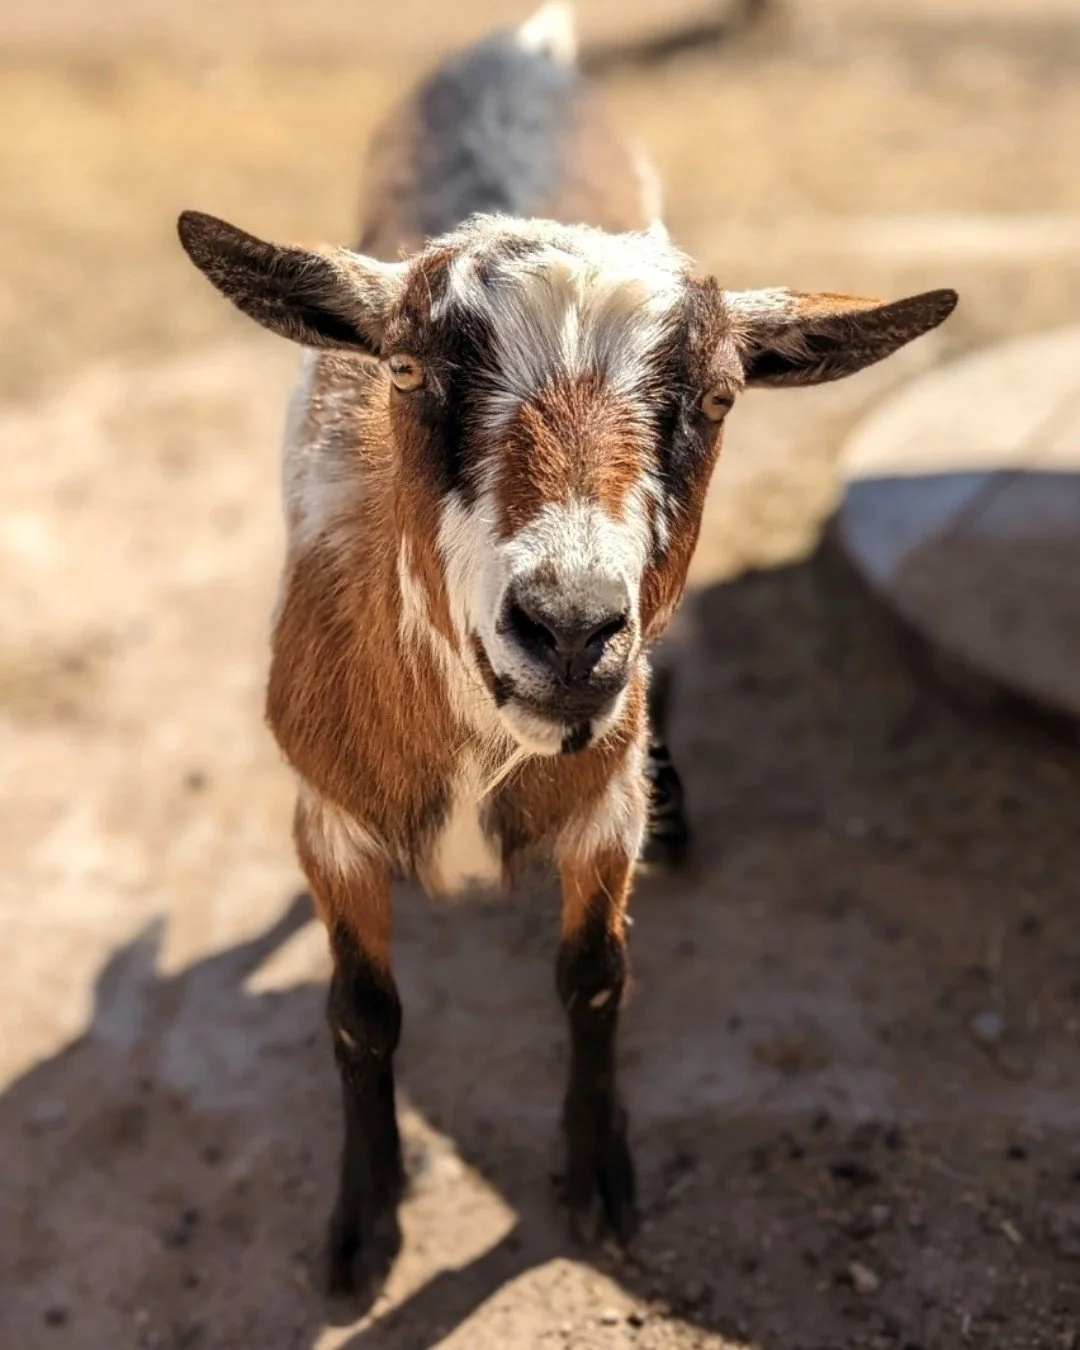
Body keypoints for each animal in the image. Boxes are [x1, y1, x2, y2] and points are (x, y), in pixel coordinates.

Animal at [177, 2, 956, 1298]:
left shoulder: (601, 817)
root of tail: (523, 45)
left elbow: (596, 983)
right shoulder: (328, 819)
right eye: (407, 368)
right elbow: (359, 1013)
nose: (571, 627)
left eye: (721, 397)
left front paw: (600, 1184)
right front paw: (364, 1226)